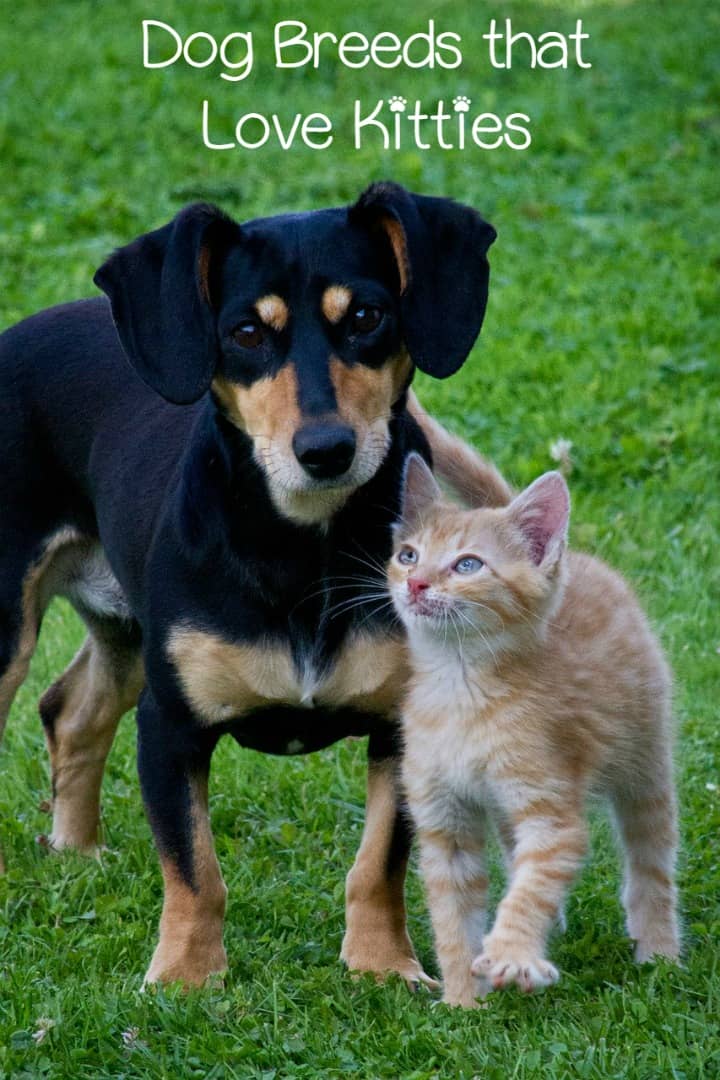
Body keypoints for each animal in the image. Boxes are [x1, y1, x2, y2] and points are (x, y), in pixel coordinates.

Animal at [0, 179, 496, 989]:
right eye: (245, 333)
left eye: (366, 317)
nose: (326, 450)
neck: (303, 550)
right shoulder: (172, 728)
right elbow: (195, 870)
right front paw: (186, 978)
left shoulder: (402, 725)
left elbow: (380, 861)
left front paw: (383, 963)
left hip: (130, 632)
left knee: (71, 711)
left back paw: (76, 853)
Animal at [390, 453, 677, 1002]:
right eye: (408, 555)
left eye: (468, 564)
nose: (415, 584)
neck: (457, 689)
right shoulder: (444, 824)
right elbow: (454, 918)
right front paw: (463, 1002)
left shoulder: (552, 815)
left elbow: (532, 886)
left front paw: (512, 954)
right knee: (514, 849)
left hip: (645, 762)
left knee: (651, 861)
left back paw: (660, 952)